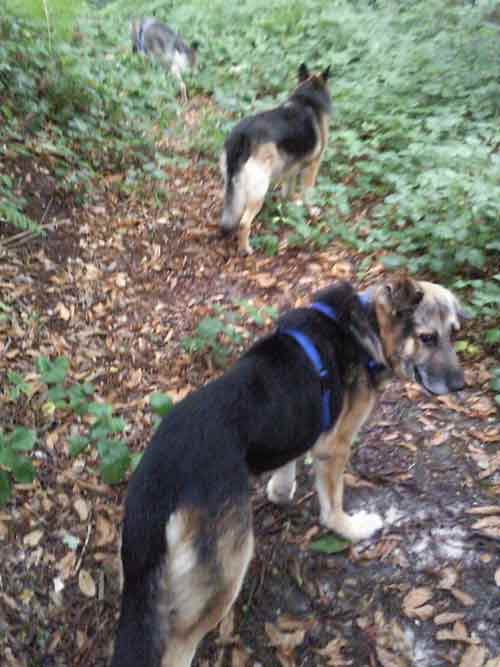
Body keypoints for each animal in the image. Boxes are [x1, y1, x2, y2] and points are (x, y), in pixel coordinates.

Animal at [111, 276, 466, 667]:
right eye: (427, 337)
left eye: (454, 334)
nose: (460, 386)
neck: (366, 325)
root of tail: (161, 479)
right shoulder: (335, 447)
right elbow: (333, 506)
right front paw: (350, 528)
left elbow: (286, 465)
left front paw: (281, 491)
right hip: (222, 581)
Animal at [220, 63, 332, 256]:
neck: (307, 99)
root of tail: (243, 135)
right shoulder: (312, 167)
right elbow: (308, 194)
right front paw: (311, 211)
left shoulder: (291, 167)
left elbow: (288, 191)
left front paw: (291, 202)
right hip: (259, 189)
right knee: (244, 222)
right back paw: (245, 248)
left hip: (234, 184)